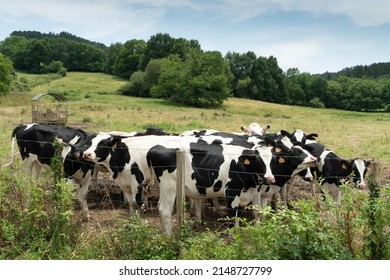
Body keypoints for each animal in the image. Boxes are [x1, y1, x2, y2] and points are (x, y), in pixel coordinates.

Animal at [81, 133, 276, 234]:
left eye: (271, 160)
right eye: (259, 161)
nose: (270, 178)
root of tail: (155, 148)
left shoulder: (255, 191)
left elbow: (256, 213)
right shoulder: (232, 192)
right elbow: (232, 216)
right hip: (169, 187)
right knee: (164, 210)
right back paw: (168, 236)